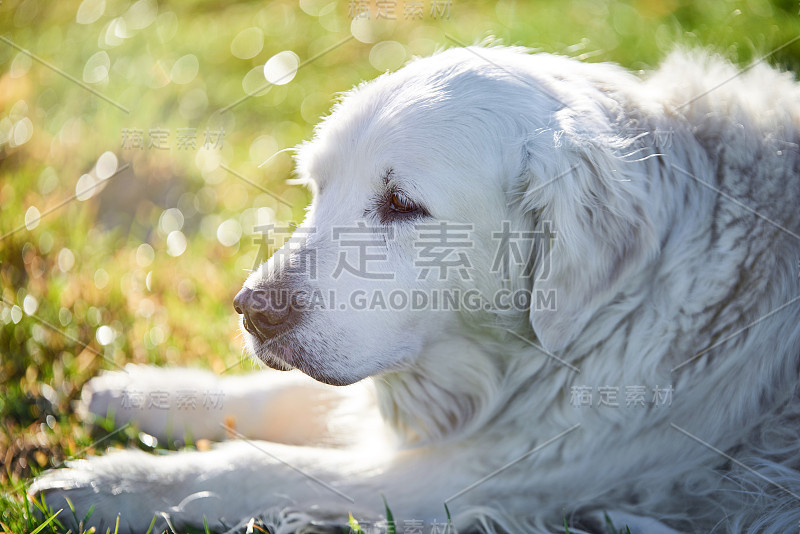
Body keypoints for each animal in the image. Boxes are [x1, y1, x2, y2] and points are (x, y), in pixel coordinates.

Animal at [31, 47, 800, 534]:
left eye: (402, 204)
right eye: (318, 186)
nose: (251, 312)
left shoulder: (474, 479)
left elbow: (256, 467)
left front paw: (109, 485)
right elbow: (279, 398)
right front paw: (145, 392)